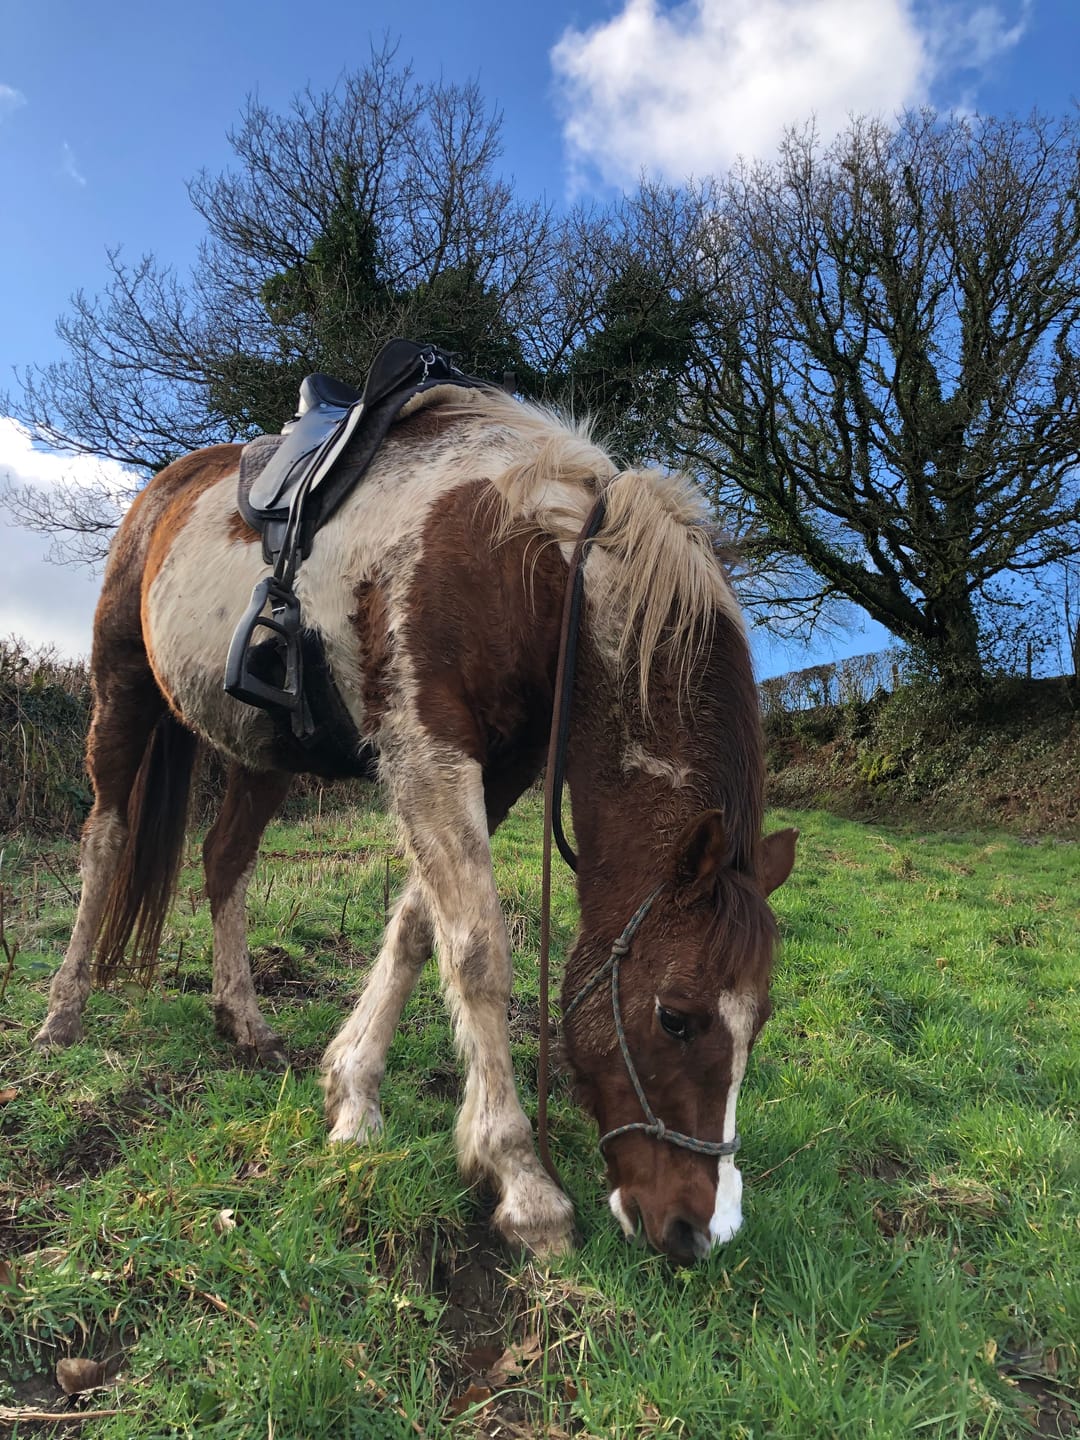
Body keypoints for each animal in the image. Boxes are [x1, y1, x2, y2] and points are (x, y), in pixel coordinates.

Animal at [34, 382, 797, 1262]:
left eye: (759, 1021)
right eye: (677, 1017)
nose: (701, 1232)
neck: (532, 566)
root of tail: (168, 485)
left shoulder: (495, 772)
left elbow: (416, 930)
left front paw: (352, 1095)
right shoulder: (428, 753)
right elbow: (478, 954)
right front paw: (521, 1180)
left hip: (264, 750)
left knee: (225, 859)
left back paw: (243, 1020)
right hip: (120, 686)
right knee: (106, 841)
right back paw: (63, 1013)